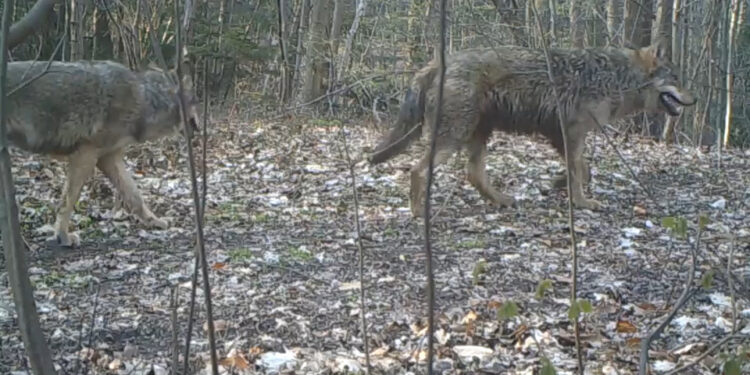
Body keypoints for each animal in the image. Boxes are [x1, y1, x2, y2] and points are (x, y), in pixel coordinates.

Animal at [6, 59, 200, 247]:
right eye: (196, 102)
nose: (200, 129)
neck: (144, 100)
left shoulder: (109, 158)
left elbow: (135, 196)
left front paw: (154, 222)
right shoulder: (85, 155)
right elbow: (68, 201)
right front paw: (62, 236)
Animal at [370, 41, 700, 217]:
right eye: (676, 78)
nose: (695, 99)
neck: (616, 78)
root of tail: (437, 62)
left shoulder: (563, 136)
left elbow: (582, 170)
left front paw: (559, 183)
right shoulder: (573, 133)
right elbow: (580, 173)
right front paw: (581, 202)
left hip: (478, 134)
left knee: (473, 174)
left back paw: (502, 200)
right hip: (453, 138)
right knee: (417, 170)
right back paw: (418, 212)